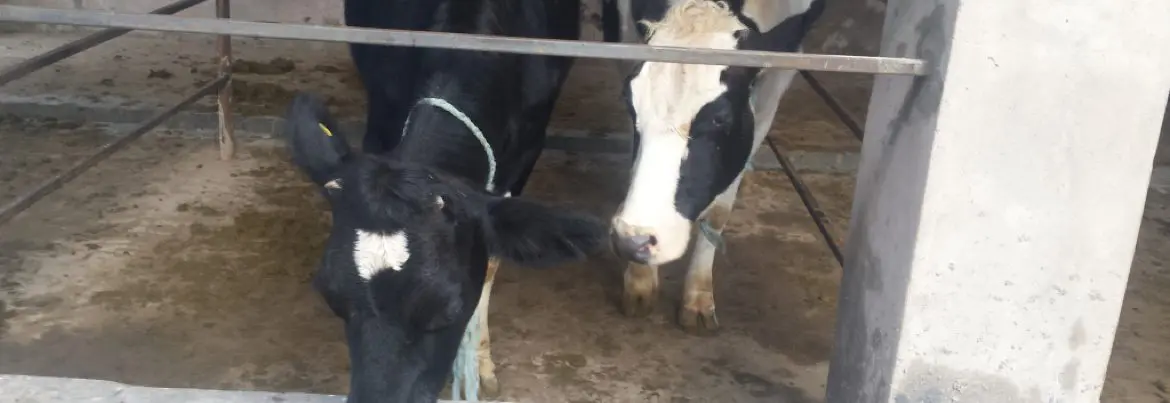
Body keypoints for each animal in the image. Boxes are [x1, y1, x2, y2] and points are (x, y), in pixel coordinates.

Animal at [283, 0, 592, 401]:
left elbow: (492, 258)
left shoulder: (528, 148)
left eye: (449, 311)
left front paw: (480, 362)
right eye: (333, 298)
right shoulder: (382, 111)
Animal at [599, 0, 826, 333]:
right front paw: (640, 280)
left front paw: (697, 297)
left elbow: (720, 210)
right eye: (630, 104)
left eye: (722, 119)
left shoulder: (783, 63)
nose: (632, 241)